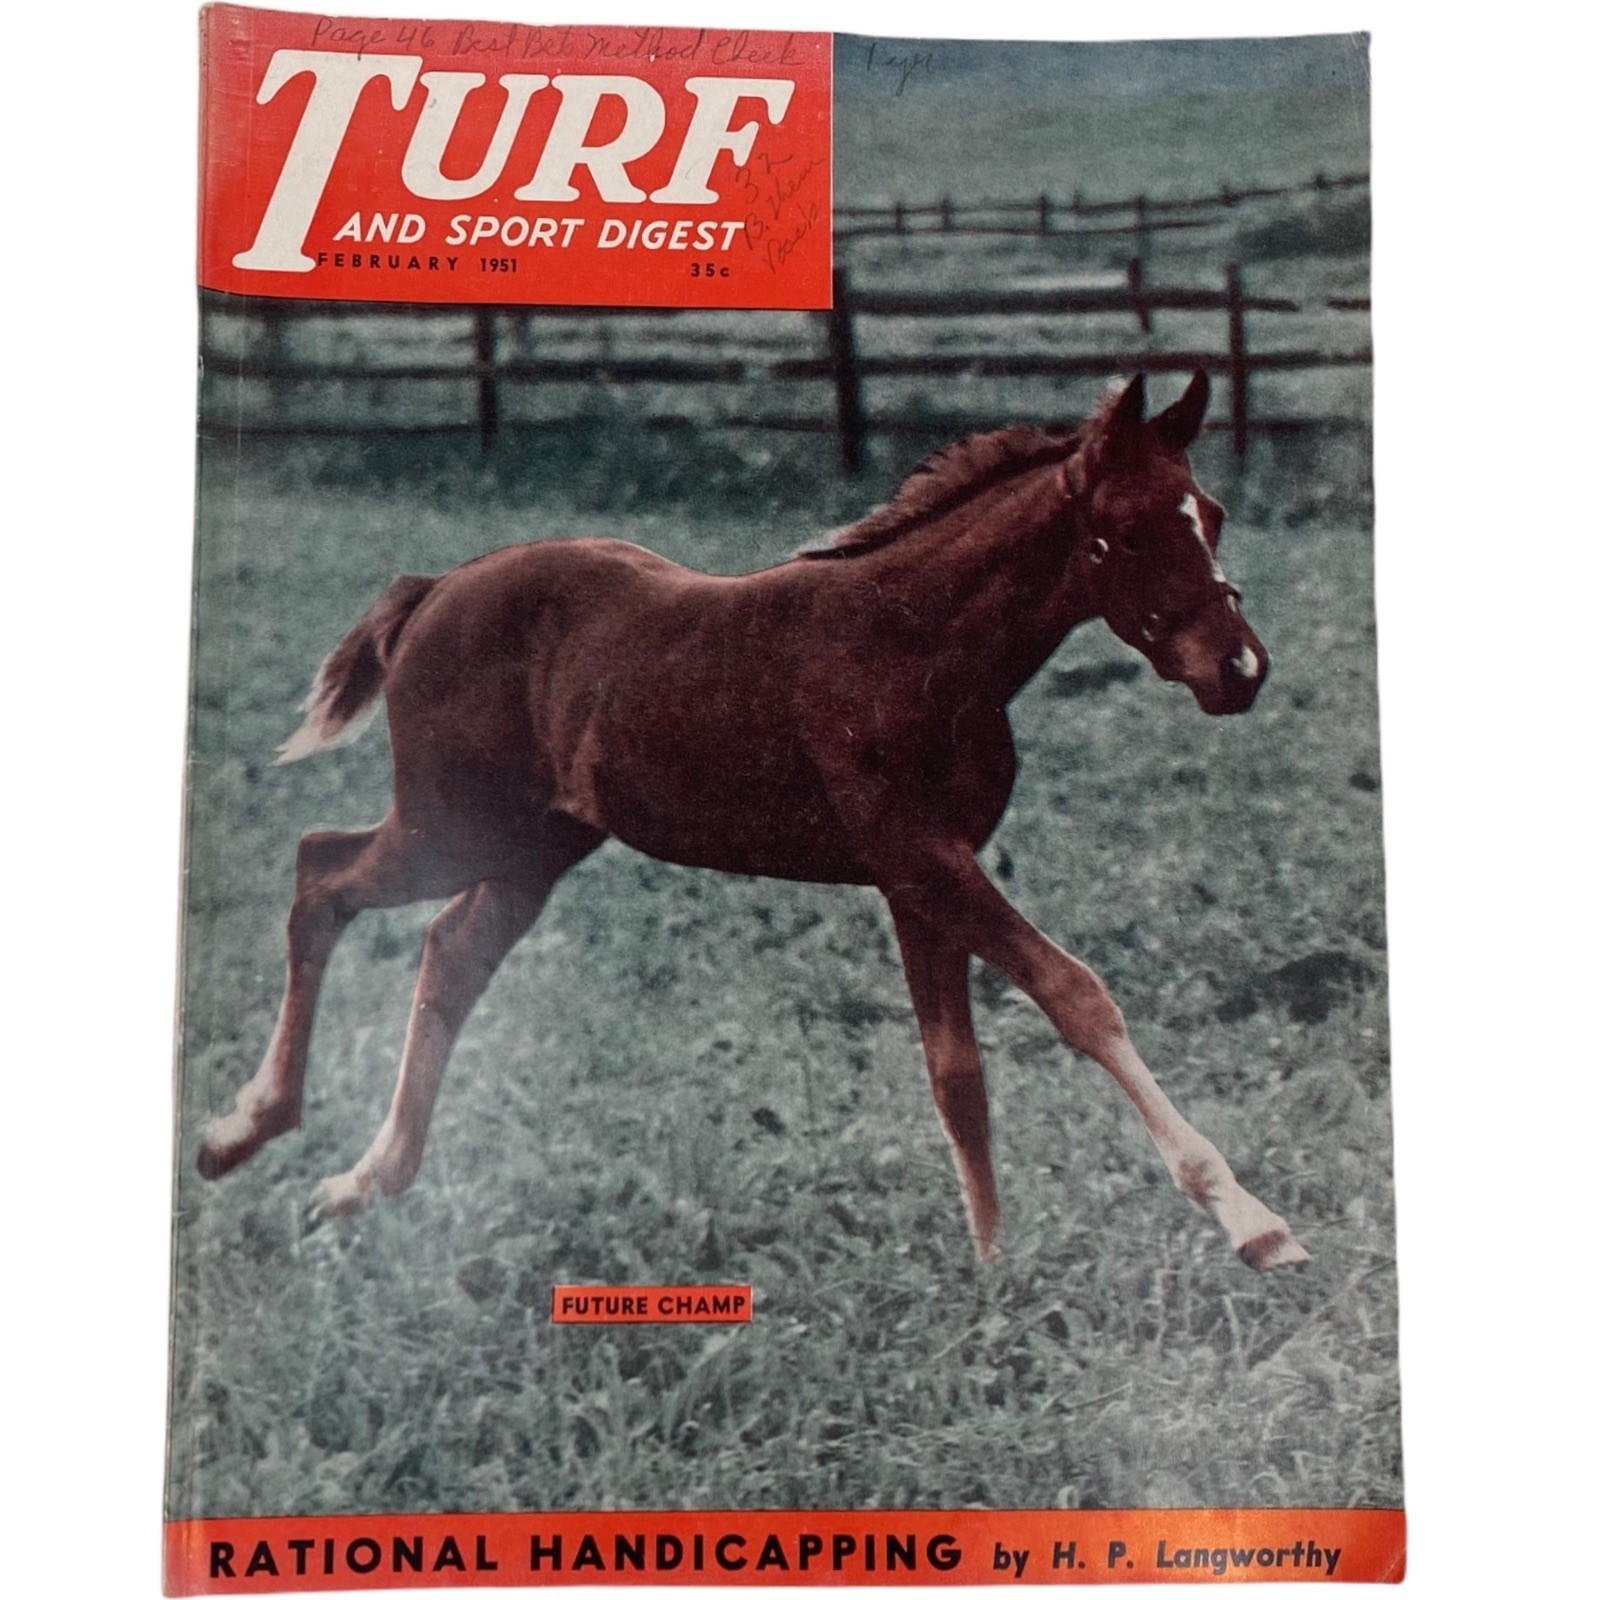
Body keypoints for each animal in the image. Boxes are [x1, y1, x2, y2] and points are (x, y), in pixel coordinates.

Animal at [196, 371, 1308, 1272]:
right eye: (1129, 530)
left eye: (1210, 512)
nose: (1239, 668)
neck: (917, 643)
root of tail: (431, 591)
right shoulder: (922, 859)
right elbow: (1077, 995)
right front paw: (1252, 1221)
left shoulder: (919, 875)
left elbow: (956, 1073)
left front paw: (993, 1269)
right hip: (450, 827)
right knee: (321, 873)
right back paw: (244, 1131)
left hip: (532, 846)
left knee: (446, 953)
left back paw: (357, 1180)